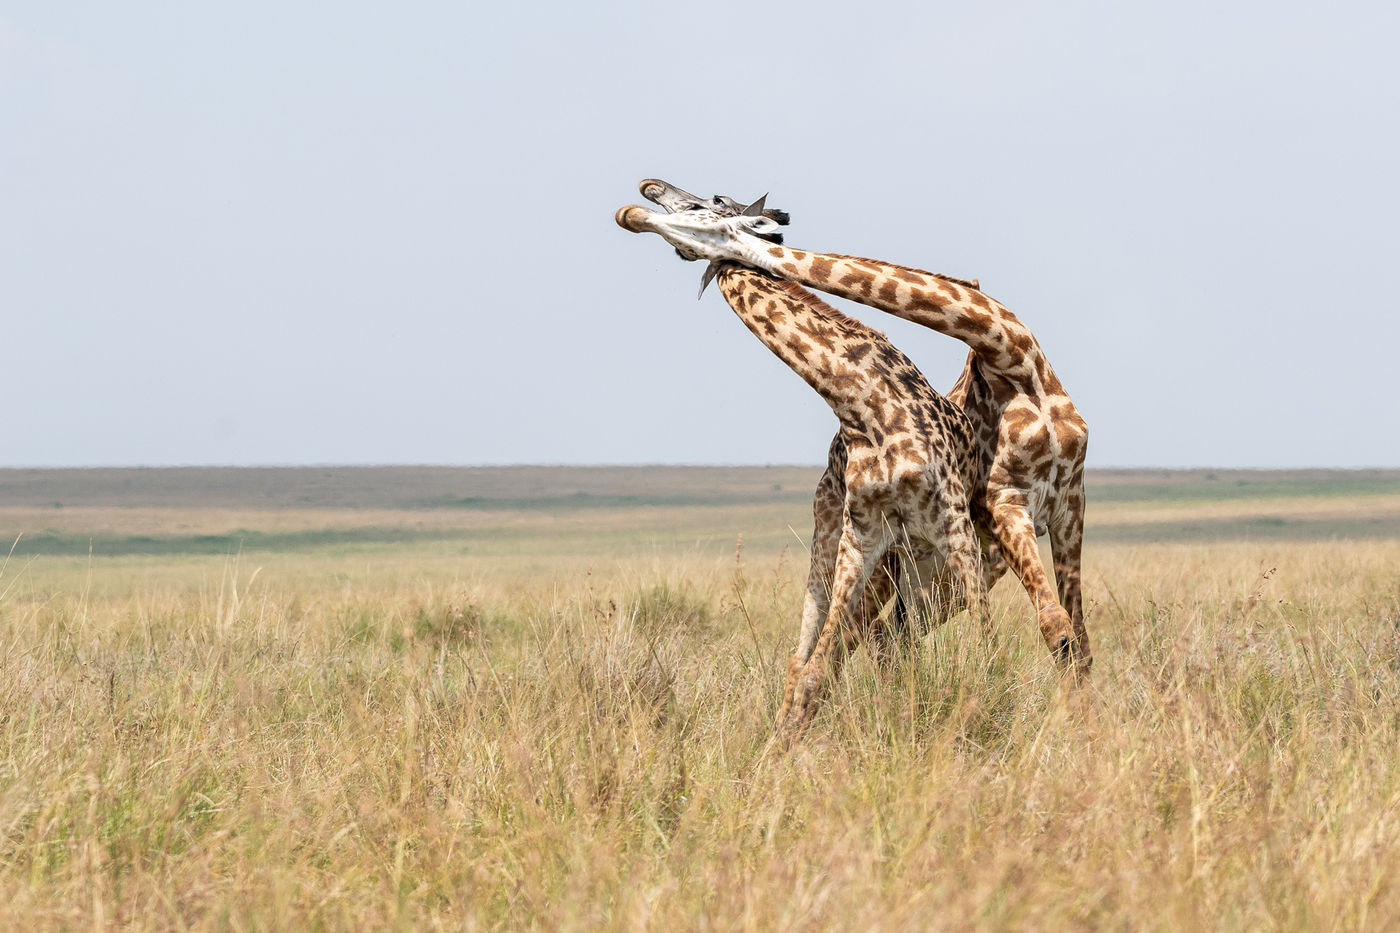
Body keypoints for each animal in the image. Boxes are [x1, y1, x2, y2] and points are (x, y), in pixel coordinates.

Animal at [613, 200, 985, 745]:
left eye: (706, 205)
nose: (634, 206)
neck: (864, 403)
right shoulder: (862, 533)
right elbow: (813, 669)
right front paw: (778, 753)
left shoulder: (953, 525)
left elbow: (983, 647)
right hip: (840, 550)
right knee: (835, 653)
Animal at [624, 190, 1092, 675]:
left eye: (709, 205)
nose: (638, 205)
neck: (1013, 361)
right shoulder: (1005, 501)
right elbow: (1059, 629)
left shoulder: (1067, 502)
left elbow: (1073, 635)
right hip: (884, 554)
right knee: (864, 636)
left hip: (950, 566)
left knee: (881, 632)